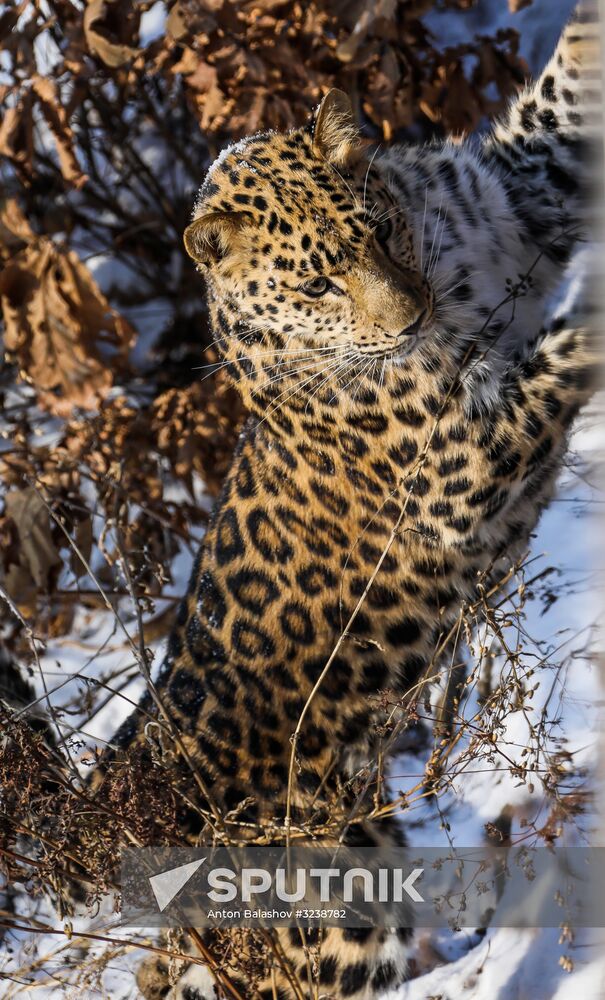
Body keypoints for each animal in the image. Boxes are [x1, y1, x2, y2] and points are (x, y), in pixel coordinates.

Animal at [90, 3, 601, 998]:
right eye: (317, 284)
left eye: (381, 234)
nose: (411, 321)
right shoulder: (456, 468)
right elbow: (559, 352)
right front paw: (599, 299)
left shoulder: (524, 185)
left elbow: (569, 92)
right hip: (334, 903)